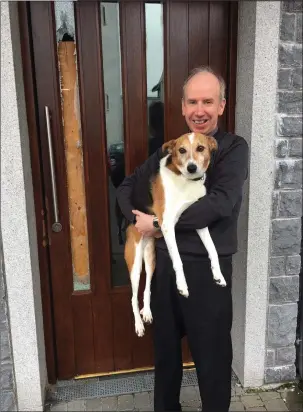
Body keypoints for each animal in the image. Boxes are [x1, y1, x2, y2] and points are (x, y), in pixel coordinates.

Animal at [124, 134, 227, 336]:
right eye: (181, 150)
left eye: (201, 148)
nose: (191, 167)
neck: (185, 180)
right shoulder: (167, 225)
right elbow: (178, 260)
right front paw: (182, 286)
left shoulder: (199, 220)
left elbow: (212, 250)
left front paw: (218, 275)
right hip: (135, 263)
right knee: (132, 297)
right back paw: (138, 324)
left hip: (151, 260)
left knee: (147, 288)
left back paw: (147, 312)